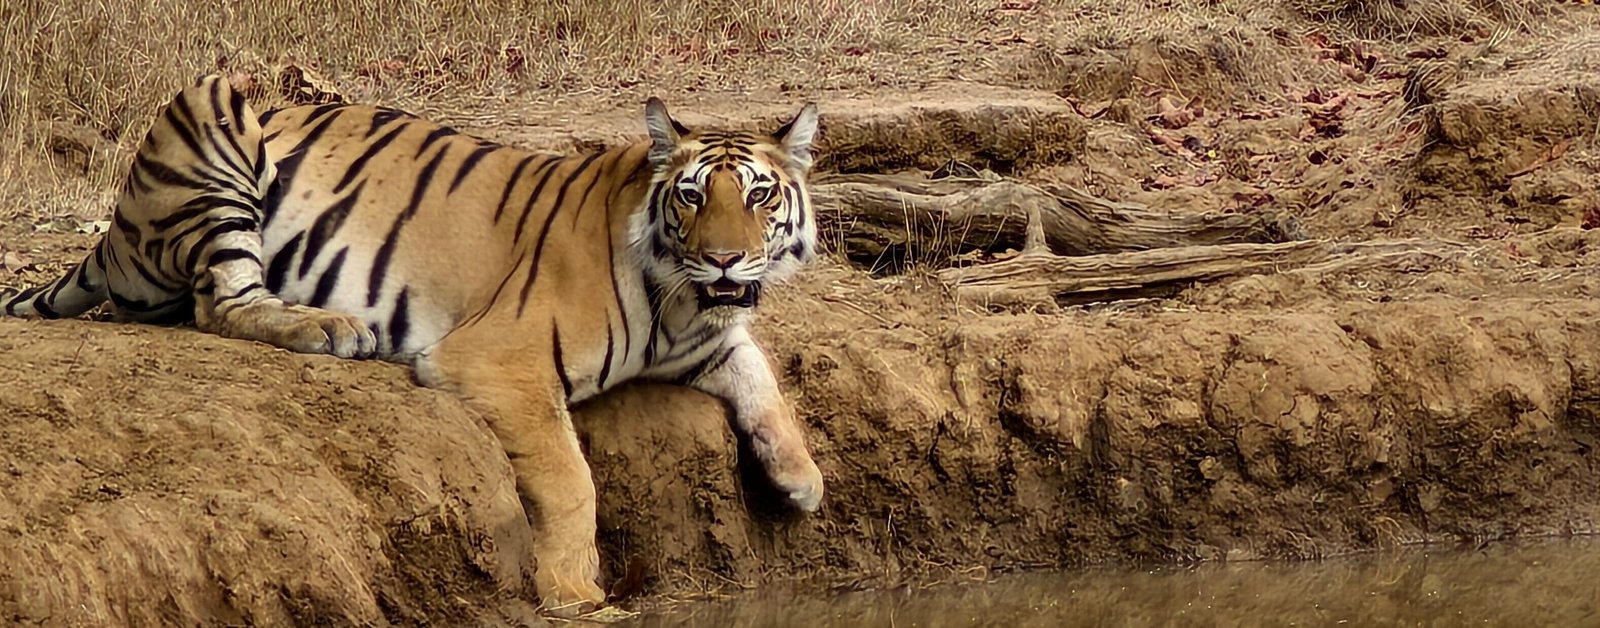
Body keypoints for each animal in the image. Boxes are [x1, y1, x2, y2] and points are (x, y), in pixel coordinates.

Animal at [0, 75, 826, 617]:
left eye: (759, 196)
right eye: (692, 195)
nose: (725, 259)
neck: (679, 299)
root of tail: (115, 226)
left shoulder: (706, 336)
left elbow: (760, 377)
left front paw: (802, 479)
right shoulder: (501, 359)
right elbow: (570, 479)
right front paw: (575, 591)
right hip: (213, 109)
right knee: (221, 301)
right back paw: (329, 327)